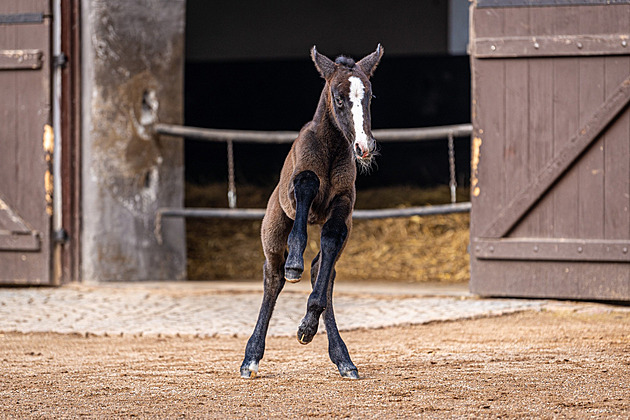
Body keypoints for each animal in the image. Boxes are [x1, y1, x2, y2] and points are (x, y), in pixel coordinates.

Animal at [239, 44, 382, 378]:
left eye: (369, 96)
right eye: (339, 97)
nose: (364, 147)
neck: (331, 149)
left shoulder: (344, 202)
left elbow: (330, 239)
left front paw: (306, 327)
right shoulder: (299, 187)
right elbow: (306, 186)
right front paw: (294, 262)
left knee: (323, 271)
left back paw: (342, 358)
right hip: (273, 228)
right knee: (272, 276)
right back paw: (251, 357)